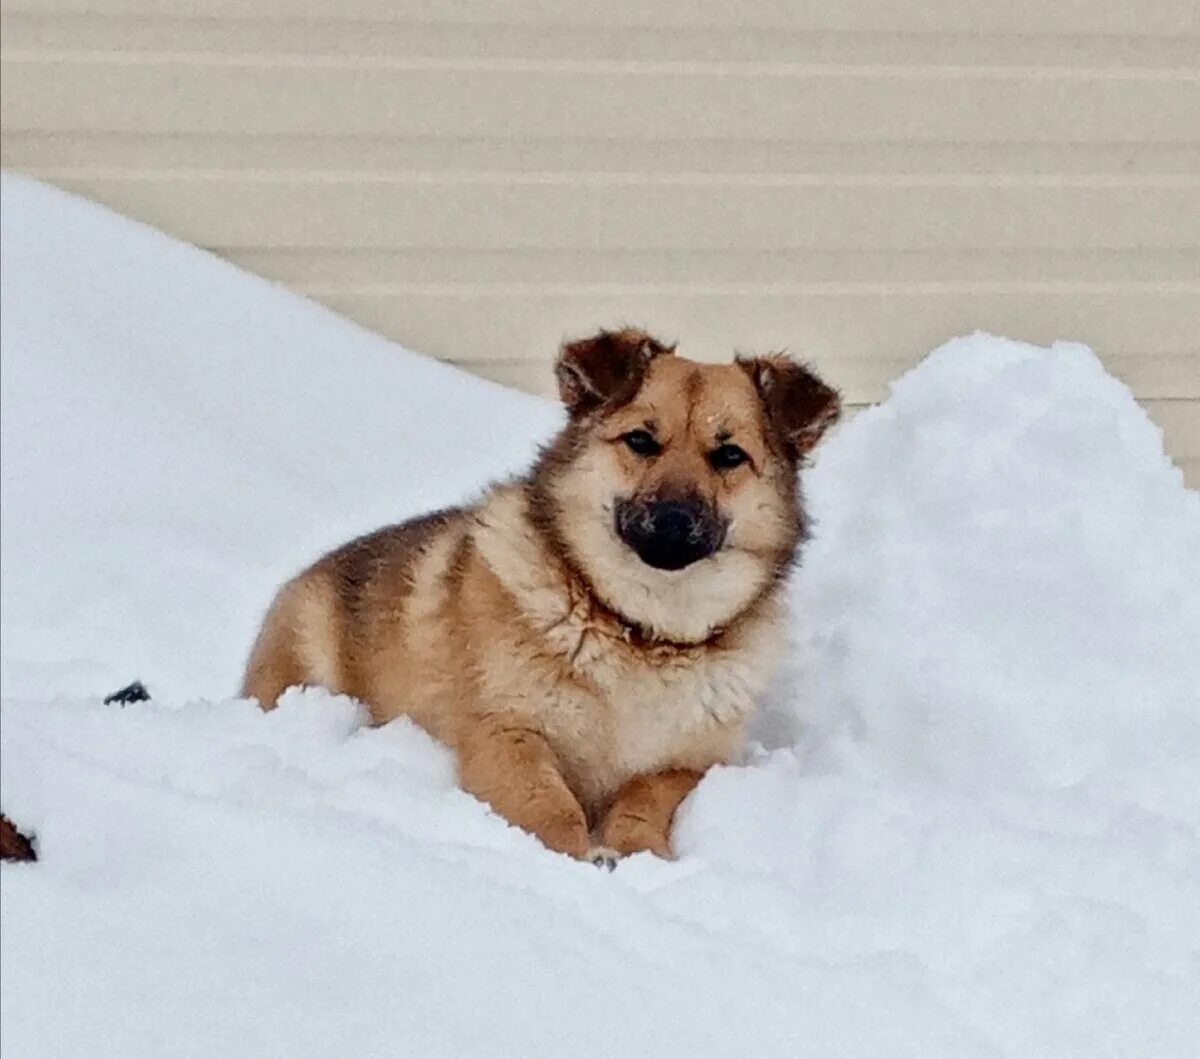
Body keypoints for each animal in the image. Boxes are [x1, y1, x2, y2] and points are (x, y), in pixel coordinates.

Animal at [242, 326, 840, 864]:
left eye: (730, 456)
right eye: (641, 441)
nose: (674, 519)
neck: (639, 632)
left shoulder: (688, 766)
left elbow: (644, 798)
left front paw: (639, 853)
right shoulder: (507, 736)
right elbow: (549, 808)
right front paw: (579, 859)